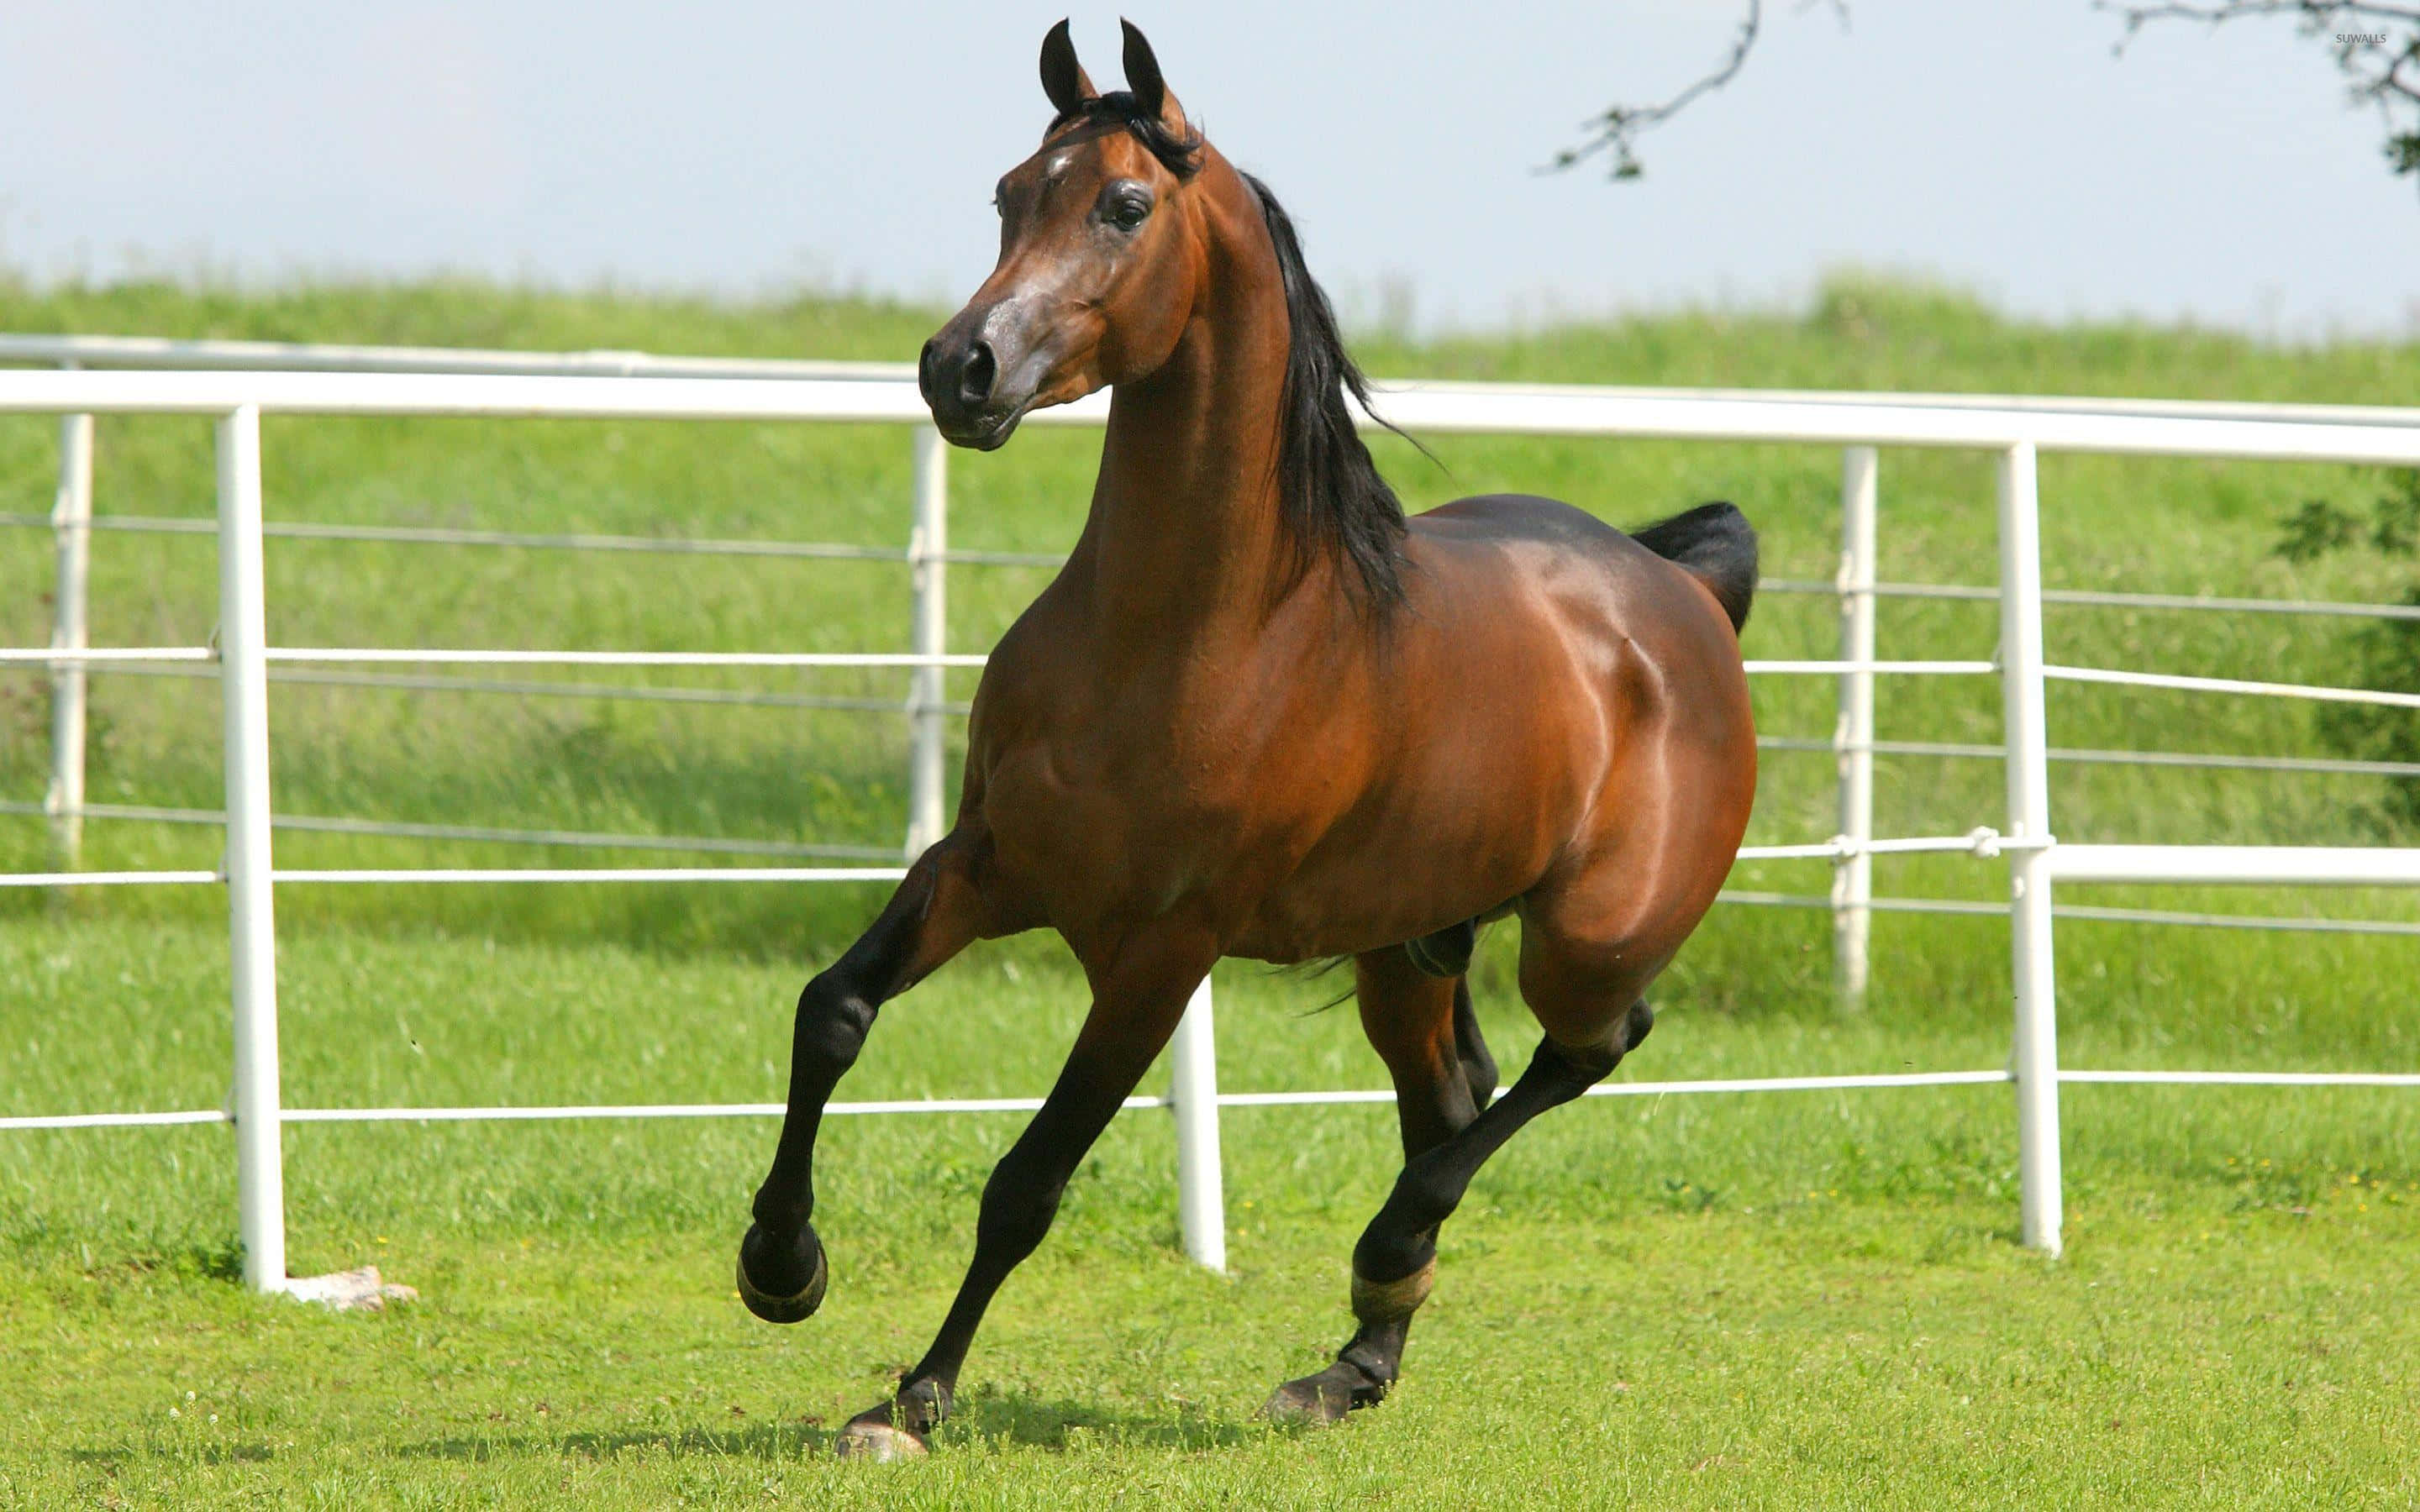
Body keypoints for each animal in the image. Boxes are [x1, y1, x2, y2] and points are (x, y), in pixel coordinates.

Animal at [734, 19, 1759, 1460]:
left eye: (1124, 204)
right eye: (1007, 193)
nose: (959, 370)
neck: (1186, 636)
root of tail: (1684, 593)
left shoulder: (1163, 952)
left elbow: (1027, 1182)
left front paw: (917, 1398)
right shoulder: (987, 863)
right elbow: (831, 1011)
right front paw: (782, 1266)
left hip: (1588, 938)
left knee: (1588, 1051)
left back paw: (1387, 1257)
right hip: (1406, 946)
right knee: (1452, 1095)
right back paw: (1354, 1362)